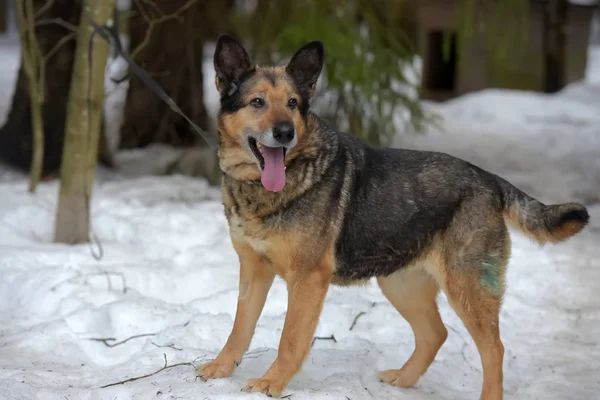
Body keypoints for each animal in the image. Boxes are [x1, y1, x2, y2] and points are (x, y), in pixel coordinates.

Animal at [196, 35, 584, 400]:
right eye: (257, 102)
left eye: (292, 103)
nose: (285, 133)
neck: (262, 188)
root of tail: (489, 179)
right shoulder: (253, 271)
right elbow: (239, 328)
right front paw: (221, 369)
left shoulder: (308, 279)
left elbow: (290, 340)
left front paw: (271, 383)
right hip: (400, 283)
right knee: (436, 333)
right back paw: (404, 379)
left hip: (465, 288)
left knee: (494, 350)